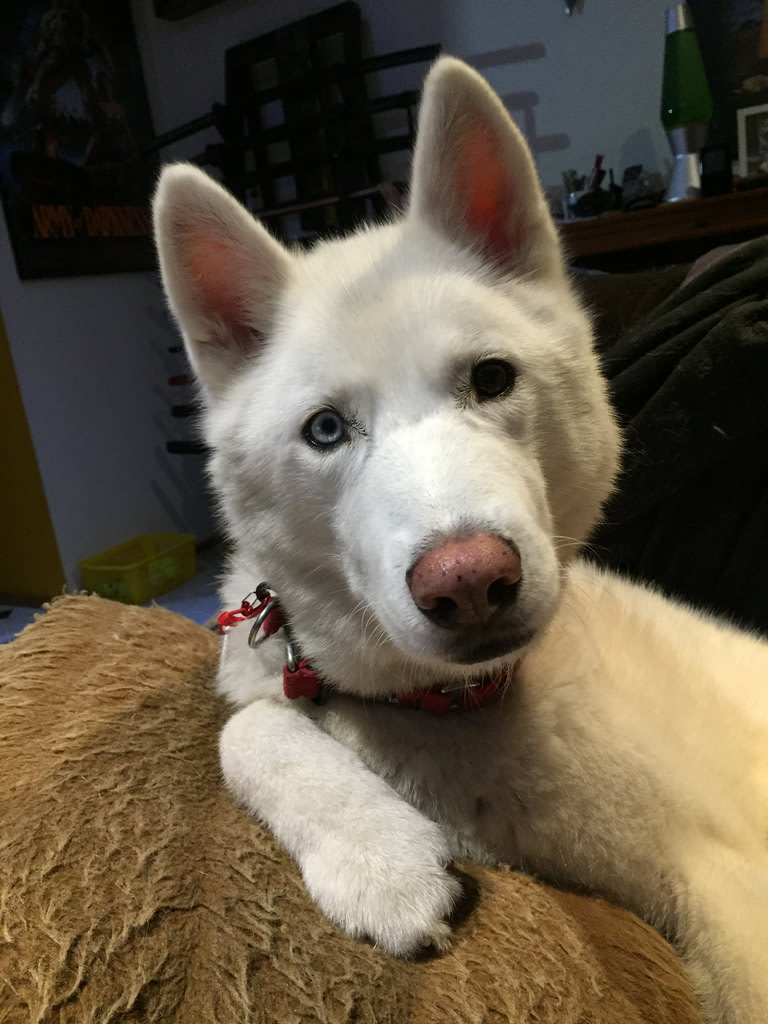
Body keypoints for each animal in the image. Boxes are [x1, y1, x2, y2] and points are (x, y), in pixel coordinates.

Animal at [154, 57, 768, 1024]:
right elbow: (245, 731)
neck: (449, 705)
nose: (469, 580)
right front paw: (379, 861)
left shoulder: (726, 883)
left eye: (491, 378)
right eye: (325, 430)